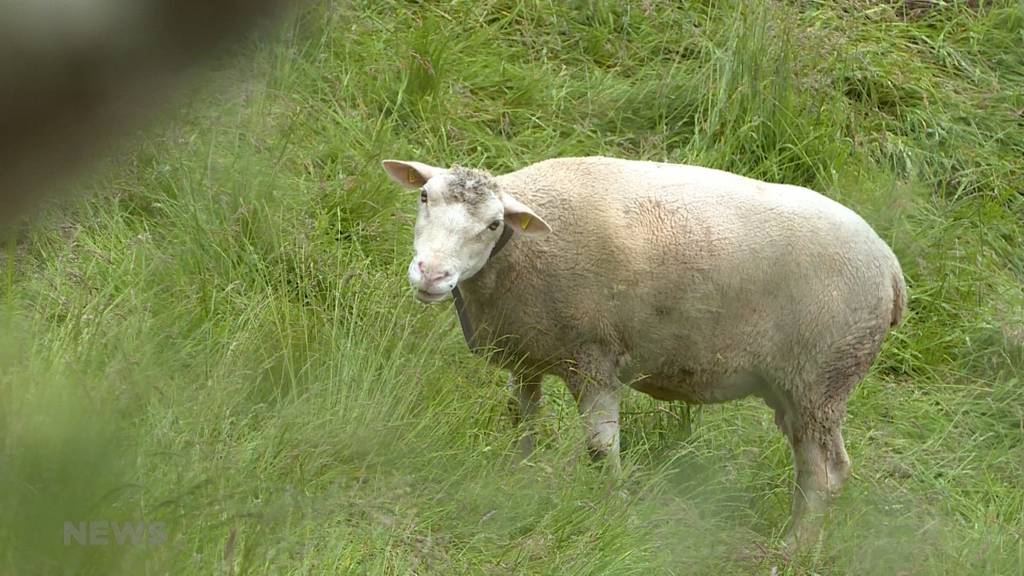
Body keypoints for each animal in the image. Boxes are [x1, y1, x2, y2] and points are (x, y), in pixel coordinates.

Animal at [382, 155, 905, 541]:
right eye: (424, 197)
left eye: (493, 225)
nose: (432, 274)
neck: (519, 256)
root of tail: (892, 269)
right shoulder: (528, 350)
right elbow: (523, 419)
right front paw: (520, 474)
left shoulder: (593, 356)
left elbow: (600, 447)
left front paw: (610, 510)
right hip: (802, 388)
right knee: (815, 467)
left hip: (822, 379)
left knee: (824, 475)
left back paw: (793, 548)